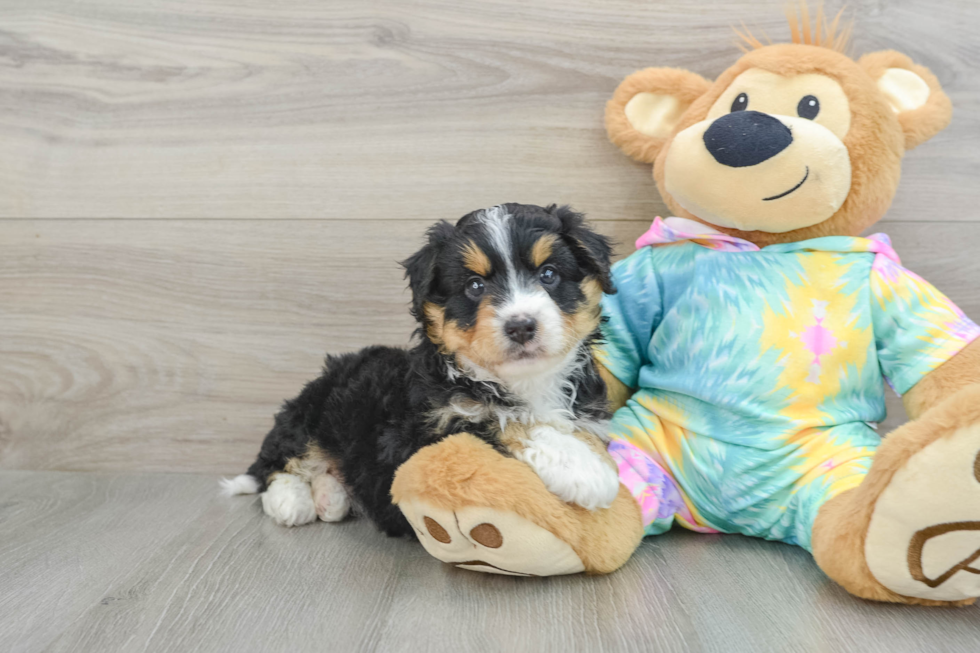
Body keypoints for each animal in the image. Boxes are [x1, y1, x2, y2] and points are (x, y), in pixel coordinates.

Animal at [223, 202, 620, 536]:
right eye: (475, 286)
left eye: (548, 274)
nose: (521, 325)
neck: (523, 382)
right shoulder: (417, 439)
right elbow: (500, 421)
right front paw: (582, 468)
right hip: (309, 412)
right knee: (277, 463)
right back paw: (292, 501)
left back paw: (330, 496)